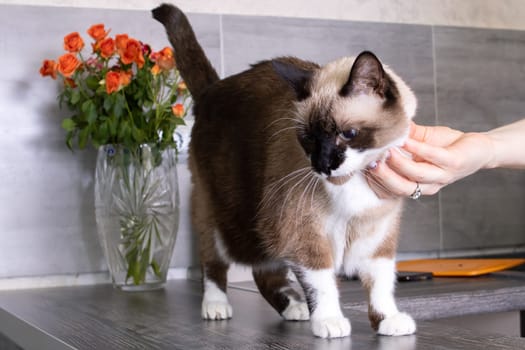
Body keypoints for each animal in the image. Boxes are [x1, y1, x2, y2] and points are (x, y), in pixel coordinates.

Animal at [152, 3, 418, 340]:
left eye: (347, 134)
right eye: (308, 138)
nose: (322, 165)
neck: (355, 183)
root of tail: (214, 88)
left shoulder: (378, 233)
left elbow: (381, 284)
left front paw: (387, 321)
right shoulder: (304, 232)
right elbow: (322, 282)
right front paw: (330, 322)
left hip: (261, 224)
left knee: (264, 271)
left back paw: (295, 307)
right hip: (221, 216)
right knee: (214, 263)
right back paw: (216, 306)